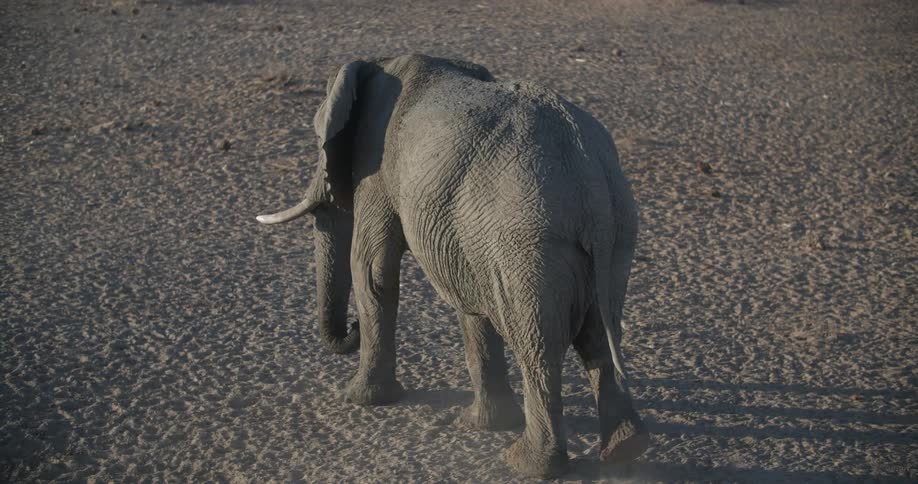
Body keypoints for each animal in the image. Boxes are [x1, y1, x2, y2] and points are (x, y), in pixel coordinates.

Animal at [256, 54, 648, 478]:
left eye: (321, 143)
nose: (353, 329)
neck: (380, 63)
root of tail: (588, 173)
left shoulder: (377, 166)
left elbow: (372, 269)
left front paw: (360, 400)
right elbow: (471, 299)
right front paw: (485, 424)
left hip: (529, 238)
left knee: (538, 346)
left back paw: (527, 464)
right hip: (616, 231)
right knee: (599, 331)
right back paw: (626, 450)